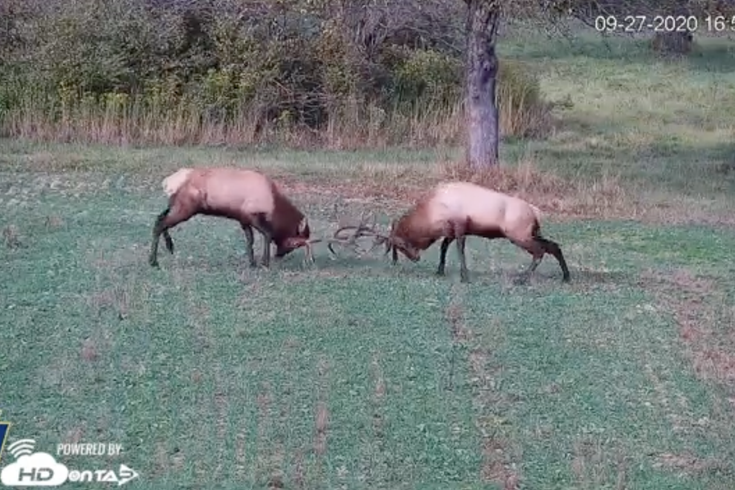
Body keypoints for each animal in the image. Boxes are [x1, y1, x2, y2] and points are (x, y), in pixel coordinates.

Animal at [330, 181, 572, 284]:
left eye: (399, 245)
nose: (415, 258)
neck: (431, 214)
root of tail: (536, 212)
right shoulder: (449, 230)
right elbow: (444, 248)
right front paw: (440, 270)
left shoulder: (459, 226)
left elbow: (459, 249)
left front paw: (465, 276)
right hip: (531, 232)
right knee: (554, 245)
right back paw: (566, 276)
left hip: (519, 234)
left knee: (540, 251)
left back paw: (522, 278)